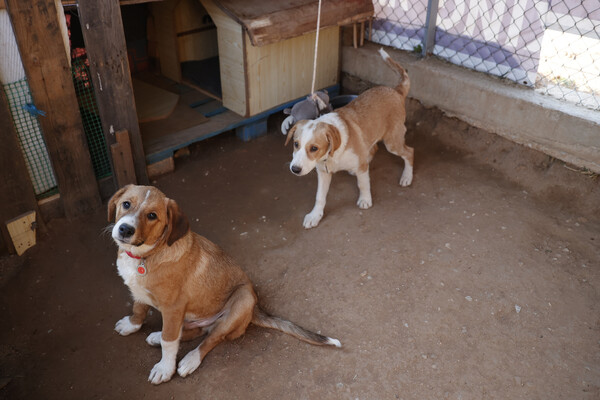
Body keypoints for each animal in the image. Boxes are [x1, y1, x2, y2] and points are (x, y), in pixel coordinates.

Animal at [109, 184, 342, 384]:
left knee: (211, 338)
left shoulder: (173, 309)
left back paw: (190, 360)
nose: (125, 230)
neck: (145, 256)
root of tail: (256, 309)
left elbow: (170, 340)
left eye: (152, 216)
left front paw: (164, 369)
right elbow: (139, 310)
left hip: (241, 301)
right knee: (194, 332)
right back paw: (158, 336)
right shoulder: (141, 294)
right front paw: (131, 325)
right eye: (126, 204)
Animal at [286, 47, 412, 228]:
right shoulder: (323, 173)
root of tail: (395, 90)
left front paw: (365, 199)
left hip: (392, 141)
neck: (331, 156)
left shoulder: (357, 168)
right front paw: (315, 215)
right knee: (373, 148)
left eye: (314, 148)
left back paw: (407, 176)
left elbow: (363, 183)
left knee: (409, 152)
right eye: (296, 144)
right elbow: (320, 197)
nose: (294, 169)